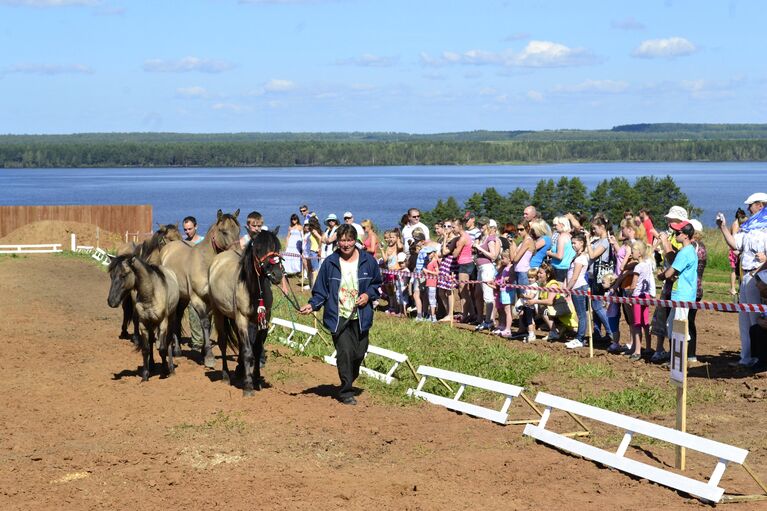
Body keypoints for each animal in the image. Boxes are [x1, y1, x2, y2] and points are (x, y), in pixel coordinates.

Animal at [208, 230, 284, 398]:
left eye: (277, 248)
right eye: (258, 249)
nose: (276, 274)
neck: (253, 290)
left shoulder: (263, 320)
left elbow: (256, 349)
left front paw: (256, 380)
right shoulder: (242, 319)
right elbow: (248, 351)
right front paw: (248, 386)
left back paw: (240, 370)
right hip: (219, 313)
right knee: (223, 343)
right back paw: (226, 376)